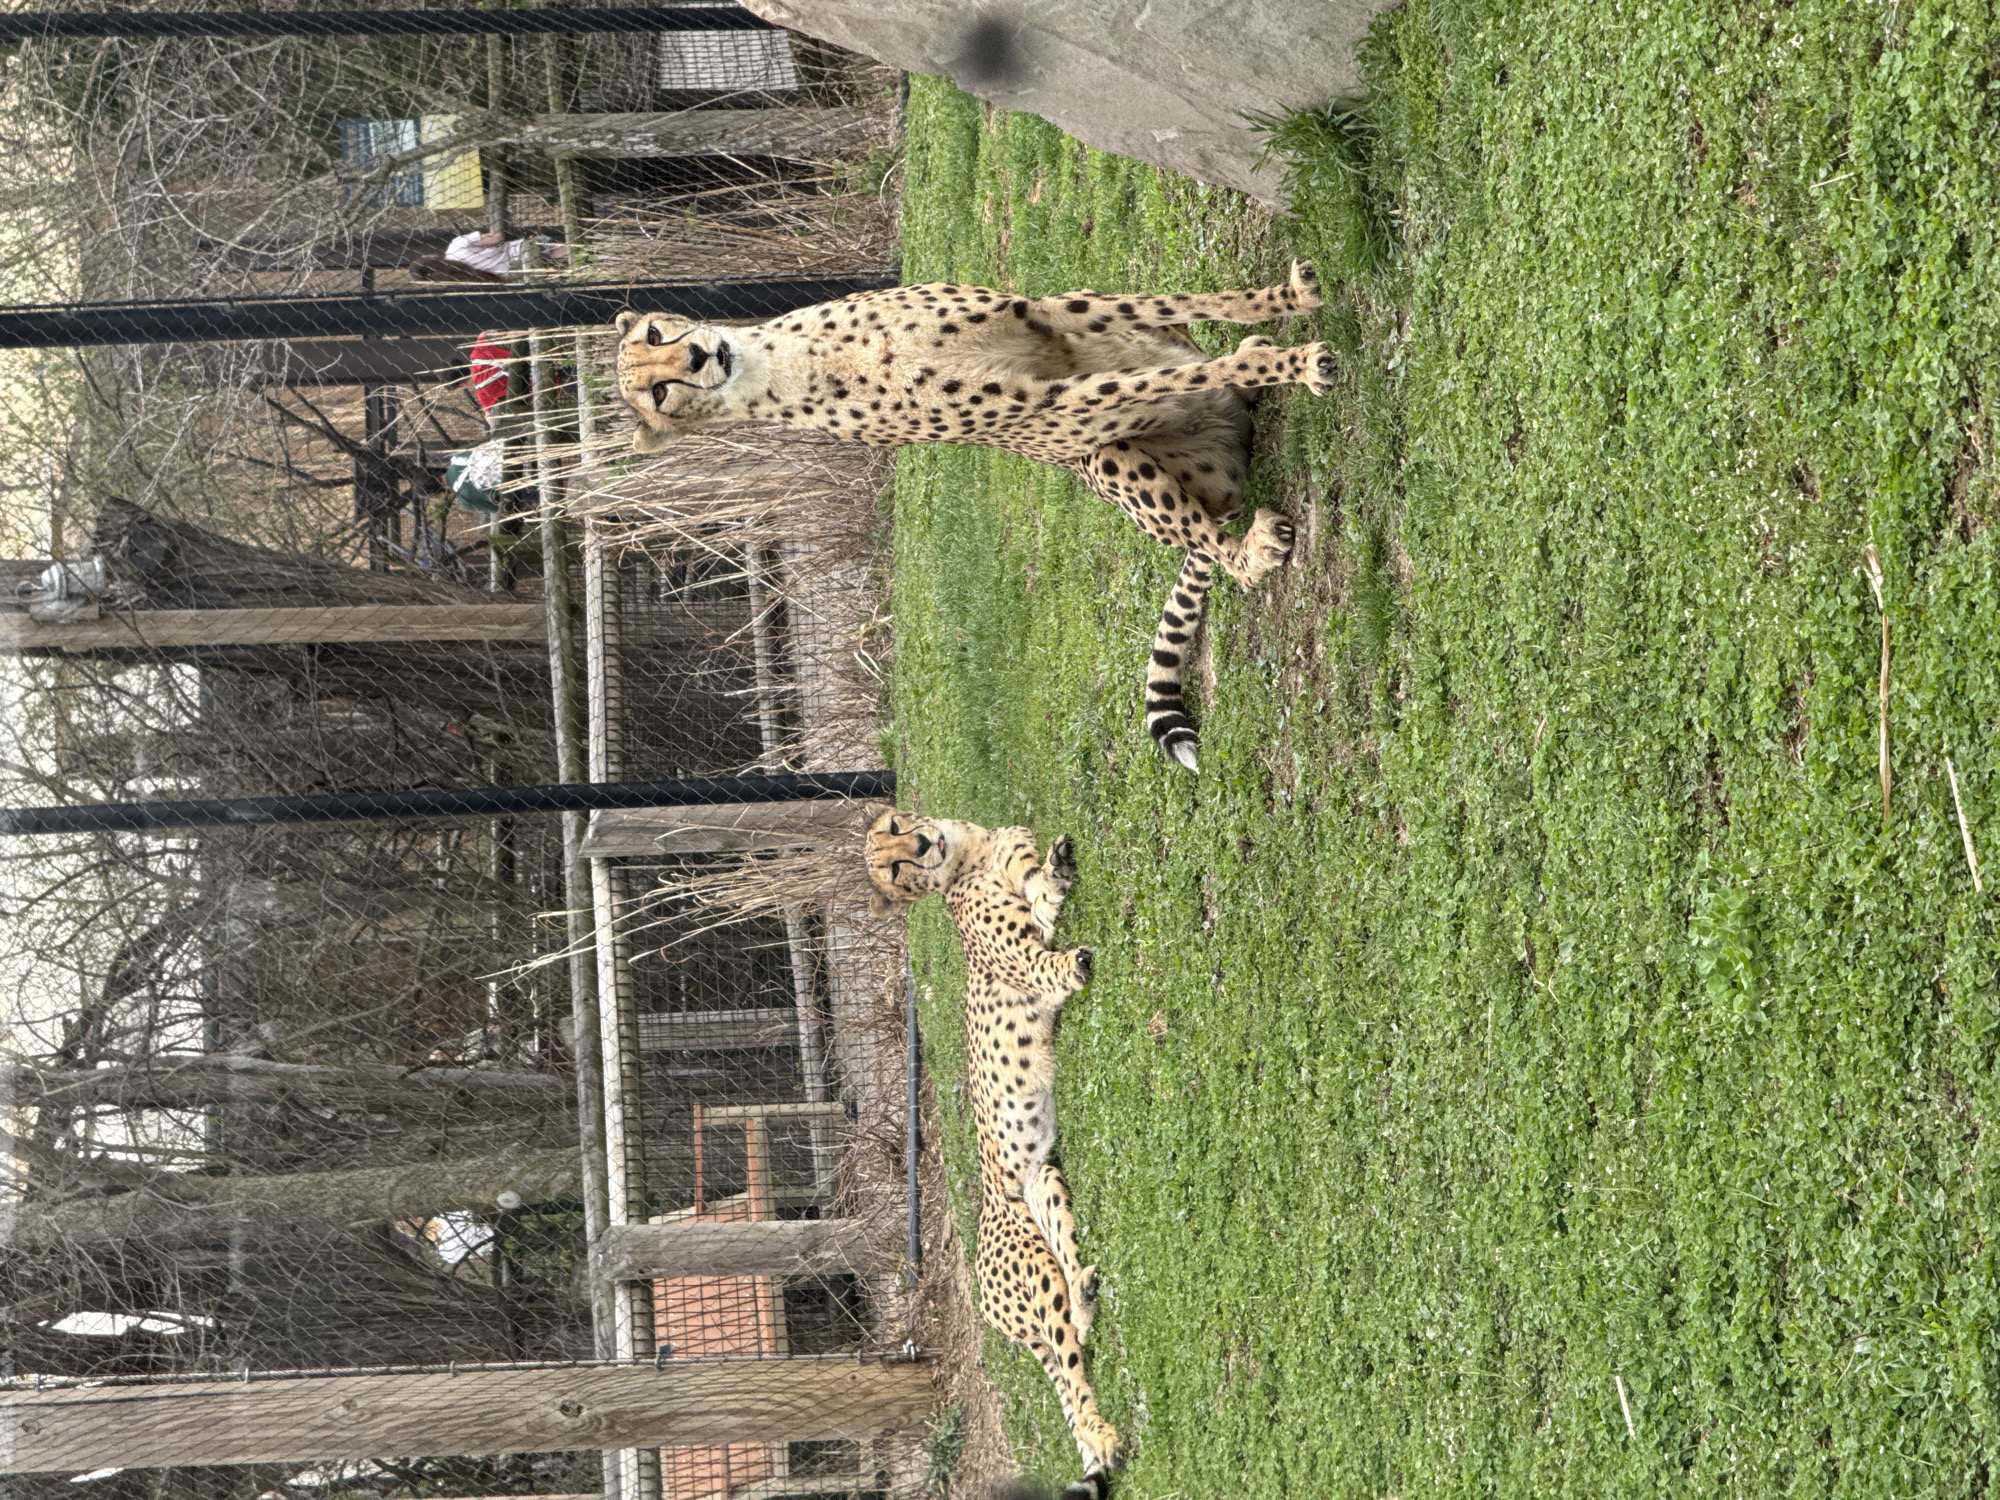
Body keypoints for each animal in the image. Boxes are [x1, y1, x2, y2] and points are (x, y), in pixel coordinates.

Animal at [616, 263, 1332, 772]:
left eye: (655, 334)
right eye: (658, 390)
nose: (698, 357)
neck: (788, 360)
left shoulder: (1044, 310)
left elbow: (1174, 302)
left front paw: (1286, 303)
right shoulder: (1051, 406)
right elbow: (1142, 385)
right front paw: (1289, 363)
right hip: (1106, 458)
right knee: (1216, 548)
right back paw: (1253, 545)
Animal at [862, 806, 1120, 1490]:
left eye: (895, 828)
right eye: (891, 870)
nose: (918, 844)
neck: (965, 854)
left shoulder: (1029, 894)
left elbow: (1045, 889)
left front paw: (1057, 865)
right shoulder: (1026, 960)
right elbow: (1049, 964)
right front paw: (1075, 964)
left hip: (1044, 1185)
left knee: (1073, 1318)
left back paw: (1086, 1292)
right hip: (1030, 1273)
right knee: (1070, 1368)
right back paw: (1104, 1436)